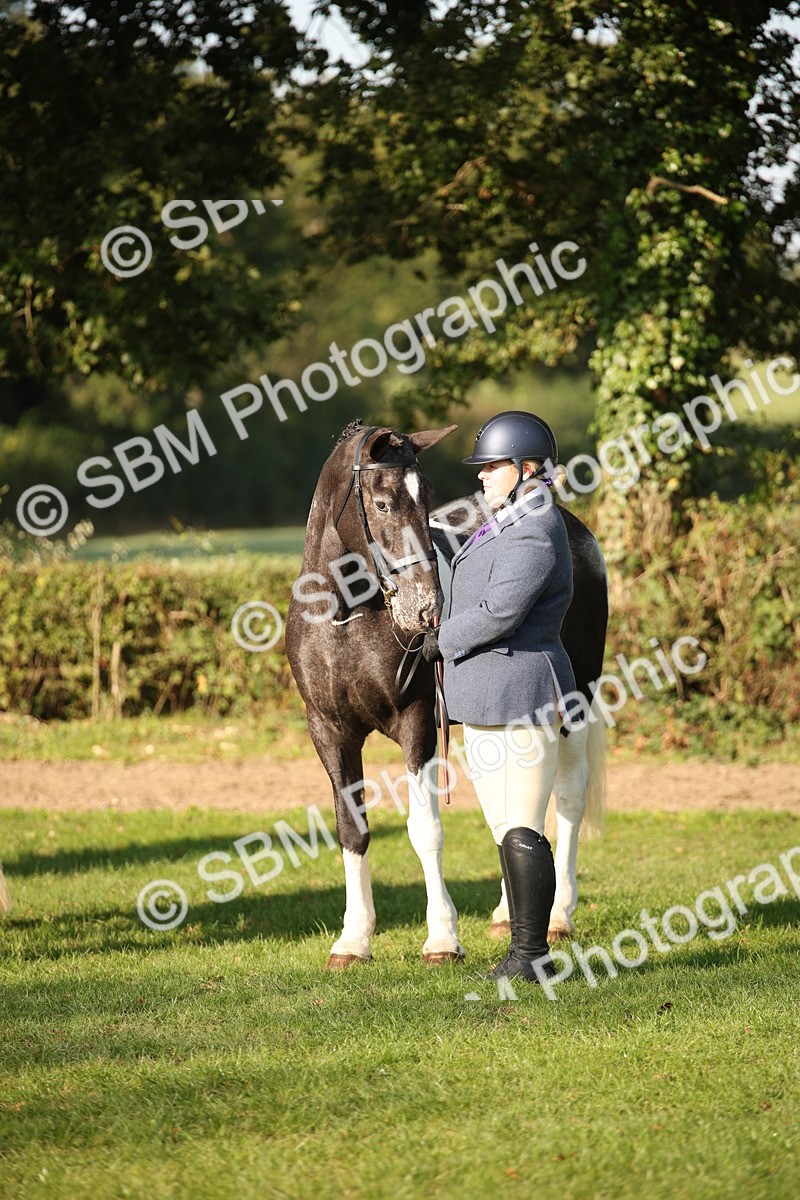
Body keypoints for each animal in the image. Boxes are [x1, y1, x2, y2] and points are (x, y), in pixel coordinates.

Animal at [286, 419, 607, 968]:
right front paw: (354, 939)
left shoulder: (417, 724)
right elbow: (353, 829)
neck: (344, 619)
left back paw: (560, 915)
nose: (428, 610)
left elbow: (425, 830)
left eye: (427, 497)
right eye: (383, 503)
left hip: (574, 703)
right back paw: (506, 914)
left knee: (567, 796)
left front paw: (441, 939)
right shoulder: (329, 733)